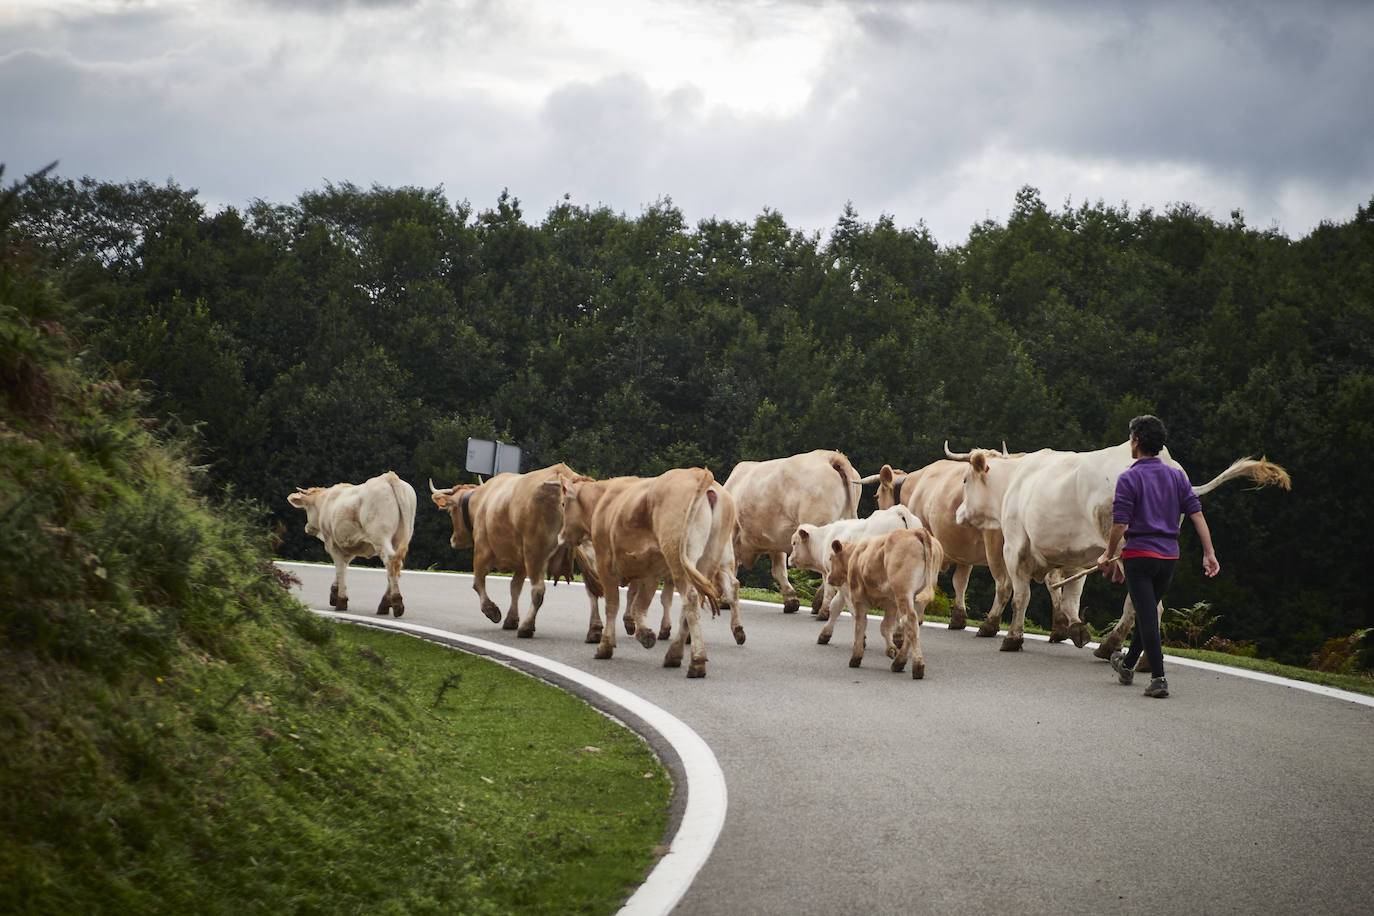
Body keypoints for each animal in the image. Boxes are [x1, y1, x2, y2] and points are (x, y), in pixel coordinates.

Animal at [287, 472, 414, 615]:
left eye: (307, 508)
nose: (307, 527)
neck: (325, 501)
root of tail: (389, 477)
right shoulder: (350, 546)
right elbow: (343, 565)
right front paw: (334, 593)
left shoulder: (332, 543)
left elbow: (340, 568)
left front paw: (341, 601)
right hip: (401, 537)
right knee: (395, 564)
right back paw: (385, 604)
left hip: (380, 536)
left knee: (390, 560)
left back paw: (396, 602)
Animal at [428, 461, 601, 642]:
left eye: (450, 511)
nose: (453, 540)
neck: (482, 500)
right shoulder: (520, 563)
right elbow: (515, 588)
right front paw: (511, 619)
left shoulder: (482, 551)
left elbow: (478, 583)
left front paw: (492, 611)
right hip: (590, 548)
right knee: (593, 588)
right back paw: (594, 631)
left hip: (535, 550)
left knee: (538, 590)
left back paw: (526, 627)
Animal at [557, 469, 736, 678]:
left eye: (563, 504)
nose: (561, 536)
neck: (603, 501)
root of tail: (700, 474)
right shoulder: (650, 570)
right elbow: (640, 603)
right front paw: (644, 634)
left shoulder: (605, 563)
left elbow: (613, 605)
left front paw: (605, 646)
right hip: (706, 561)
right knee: (694, 602)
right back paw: (674, 655)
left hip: (679, 559)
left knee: (690, 600)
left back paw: (697, 661)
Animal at [719, 450, 857, 615]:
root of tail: (829, 455)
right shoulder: (775, 540)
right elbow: (779, 571)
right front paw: (791, 601)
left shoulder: (733, 534)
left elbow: (730, 567)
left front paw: (725, 600)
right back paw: (818, 603)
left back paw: (823, 608)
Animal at [824, 527, 945, 678]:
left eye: (831, 558)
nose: (829, 578)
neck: (856, 554)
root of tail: (917, 531)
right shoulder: (891, 603)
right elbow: (885, 627)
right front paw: (891, 649)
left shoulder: (858, 598)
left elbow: (860, 624)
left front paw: (856, 657)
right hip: (918, 599)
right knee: (913, 625)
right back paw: (899, 663)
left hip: (903, 592)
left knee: (910, 621)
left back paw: (916, 666)